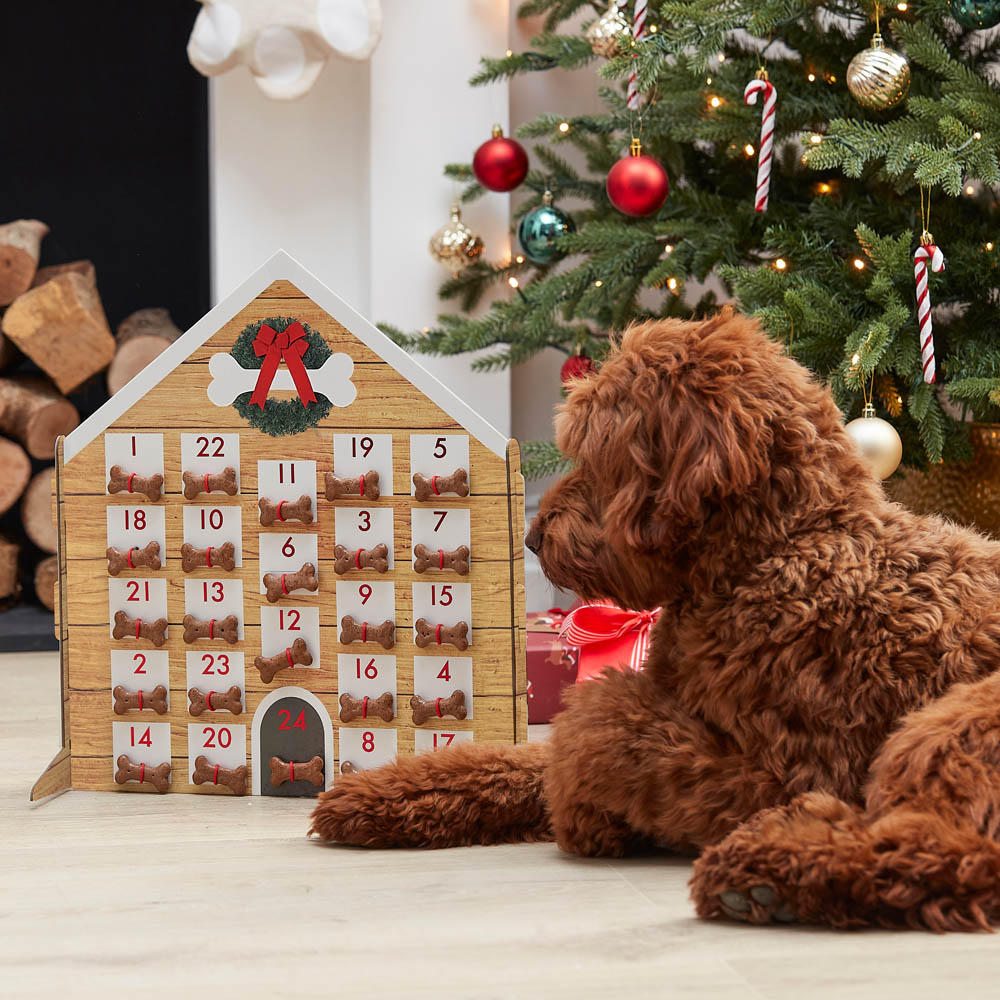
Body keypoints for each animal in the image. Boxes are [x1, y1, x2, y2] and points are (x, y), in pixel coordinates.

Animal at [312, 310, 1000, 928]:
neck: (776, 551)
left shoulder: (788, 773)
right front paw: (380, 792)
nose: (533, 537)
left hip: (954, 723)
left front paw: (588, 816)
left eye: (597, 451)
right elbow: (516, 759)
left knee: (948, 849)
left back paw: (768, 872)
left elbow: (593, 732)